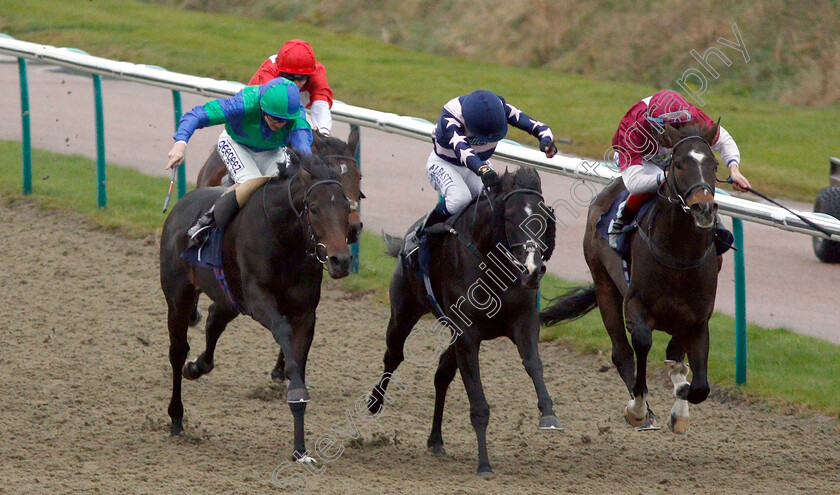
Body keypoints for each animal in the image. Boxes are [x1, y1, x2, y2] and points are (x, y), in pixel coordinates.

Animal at [159, 154, 350, 462]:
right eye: (314, 208)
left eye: (347, 206)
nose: (340, 261)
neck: (284, 237)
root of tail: (181, 205)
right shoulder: (259, 300)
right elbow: (282, 331)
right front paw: (294, 391)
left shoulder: (305, 314)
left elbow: (298, 361)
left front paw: (300, 449)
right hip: (179, 296)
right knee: (177, 352)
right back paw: (176, 417)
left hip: (229, 297)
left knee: (213, 322)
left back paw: (197, 367)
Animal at [366, 169, 556, 478]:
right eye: (509, 217)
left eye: (543, 217)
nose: (532, 270)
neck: (492, 265)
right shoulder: (467, 335)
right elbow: (478, 403)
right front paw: (484, 464)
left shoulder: (523, 322)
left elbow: (533, 364)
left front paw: (549, 413)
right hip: (403, 312)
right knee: (393, 355)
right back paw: (374, 402)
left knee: (441, 373)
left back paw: (435, 440)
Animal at [540, 123, 724, 434]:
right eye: (678, 163)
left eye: (714, 165)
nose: (704, 208)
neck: (679, 254)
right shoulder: (636, 306)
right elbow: (641, 342)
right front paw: (638, 408)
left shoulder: (697, 319)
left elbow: (699, 385)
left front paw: (680, 398)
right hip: (604, 283)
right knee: (621, 351)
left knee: (673, 353)